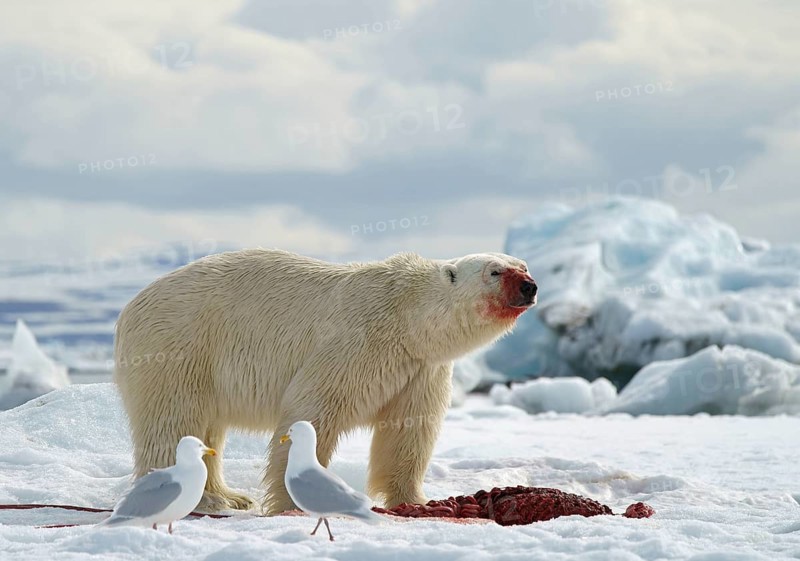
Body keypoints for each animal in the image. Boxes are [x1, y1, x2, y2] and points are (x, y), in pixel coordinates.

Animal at [113, 249, 537, 514]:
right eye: (495, 271)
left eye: (523, 265)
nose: (529, 286)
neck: (407, 317)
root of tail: (129, 308)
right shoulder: (358, 343)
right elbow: (314, 409)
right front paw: (294, 502)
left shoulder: (420, 368)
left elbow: (409, 429)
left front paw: (416, 500)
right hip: (178, 348)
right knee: (174, 420)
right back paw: (196, 499)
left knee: (207, 428)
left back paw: (230, 497)